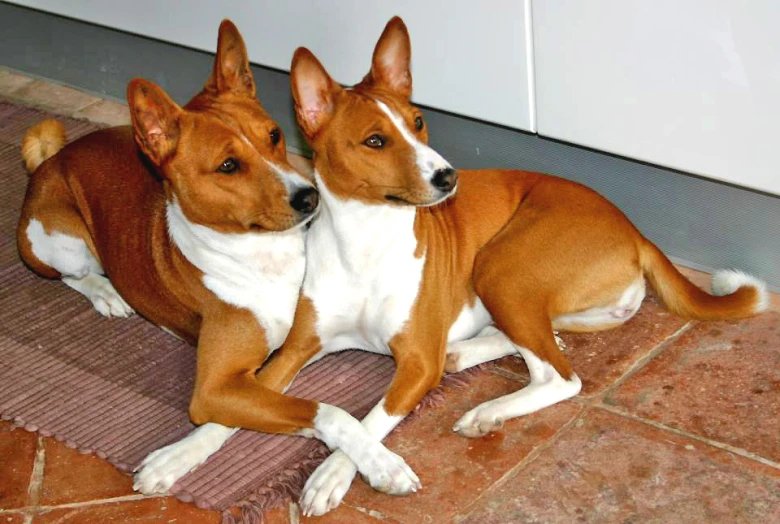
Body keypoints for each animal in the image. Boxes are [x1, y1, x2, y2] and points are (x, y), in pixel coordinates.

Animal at [16, 17, 420, 500]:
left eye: (274, 135)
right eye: (228, 165)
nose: (309, 197)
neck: (266, 254)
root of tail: (54, 157)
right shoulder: (216, 387)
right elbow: (329, 411)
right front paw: (381, 462)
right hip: (59, 239)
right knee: (71, 273)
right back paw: (106, 292)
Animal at [248, 17, 768, 516]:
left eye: (418, 122)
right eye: (375, 140)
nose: (448, 176)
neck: (363, 242)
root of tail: (633, 230)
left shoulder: (417, 362)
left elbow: (370, 419)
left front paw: (336, 475)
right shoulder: (292, 353)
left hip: (499, 267)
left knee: (560, 376)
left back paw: (488, 409)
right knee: (546, 339)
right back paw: (469, 355)